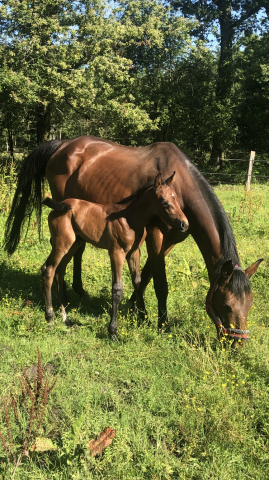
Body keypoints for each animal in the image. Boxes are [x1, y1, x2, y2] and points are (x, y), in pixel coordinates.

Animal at [42, 172, 188, 338]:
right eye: (164, 201)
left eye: (175, 198)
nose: (184, 224)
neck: (129, 218)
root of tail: (58, 205)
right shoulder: (116, 252)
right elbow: (117, 289)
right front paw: (112, 331)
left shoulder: (134, 253)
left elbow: (138, 282)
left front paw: (144, 318)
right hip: (62, 244)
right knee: (48, 270)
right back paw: (50, 318)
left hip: (74, 244)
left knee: (59, 271)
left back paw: (65, 318)